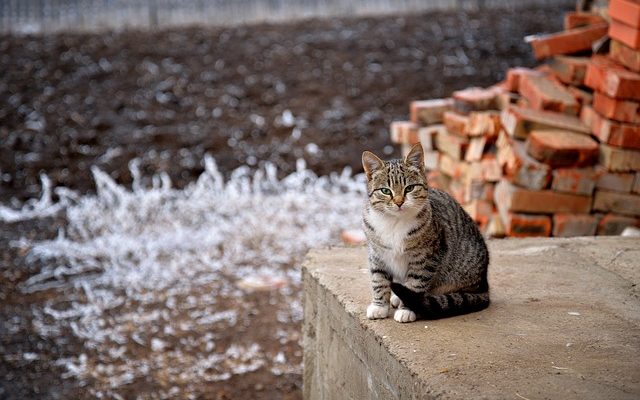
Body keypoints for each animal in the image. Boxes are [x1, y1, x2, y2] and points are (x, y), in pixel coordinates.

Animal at [360, 144, 490, 322]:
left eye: (409, 188)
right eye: (386, 191)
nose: (399, 202)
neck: (395, 223)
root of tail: (484, 284)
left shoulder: (425, 257)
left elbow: (416, 282)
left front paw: (406, 309)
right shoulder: (377, 254)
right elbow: (379, 280)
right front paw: (379, 306)